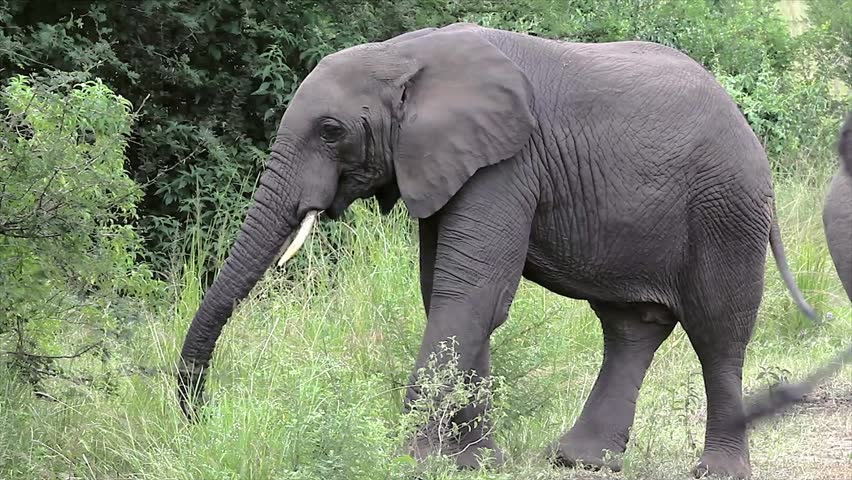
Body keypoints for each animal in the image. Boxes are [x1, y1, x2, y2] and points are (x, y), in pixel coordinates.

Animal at [176, 23, 829, 479]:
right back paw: (580, 460)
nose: (200, 419)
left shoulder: (507, 162)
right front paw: (475, 463)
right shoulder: (453, 164)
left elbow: (471, 295)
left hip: (727, 207)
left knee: (718, 329)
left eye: (331, 132)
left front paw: (411, 462)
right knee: (630, 326)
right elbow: (452, 296)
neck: (403, 56)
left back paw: (715, 470)